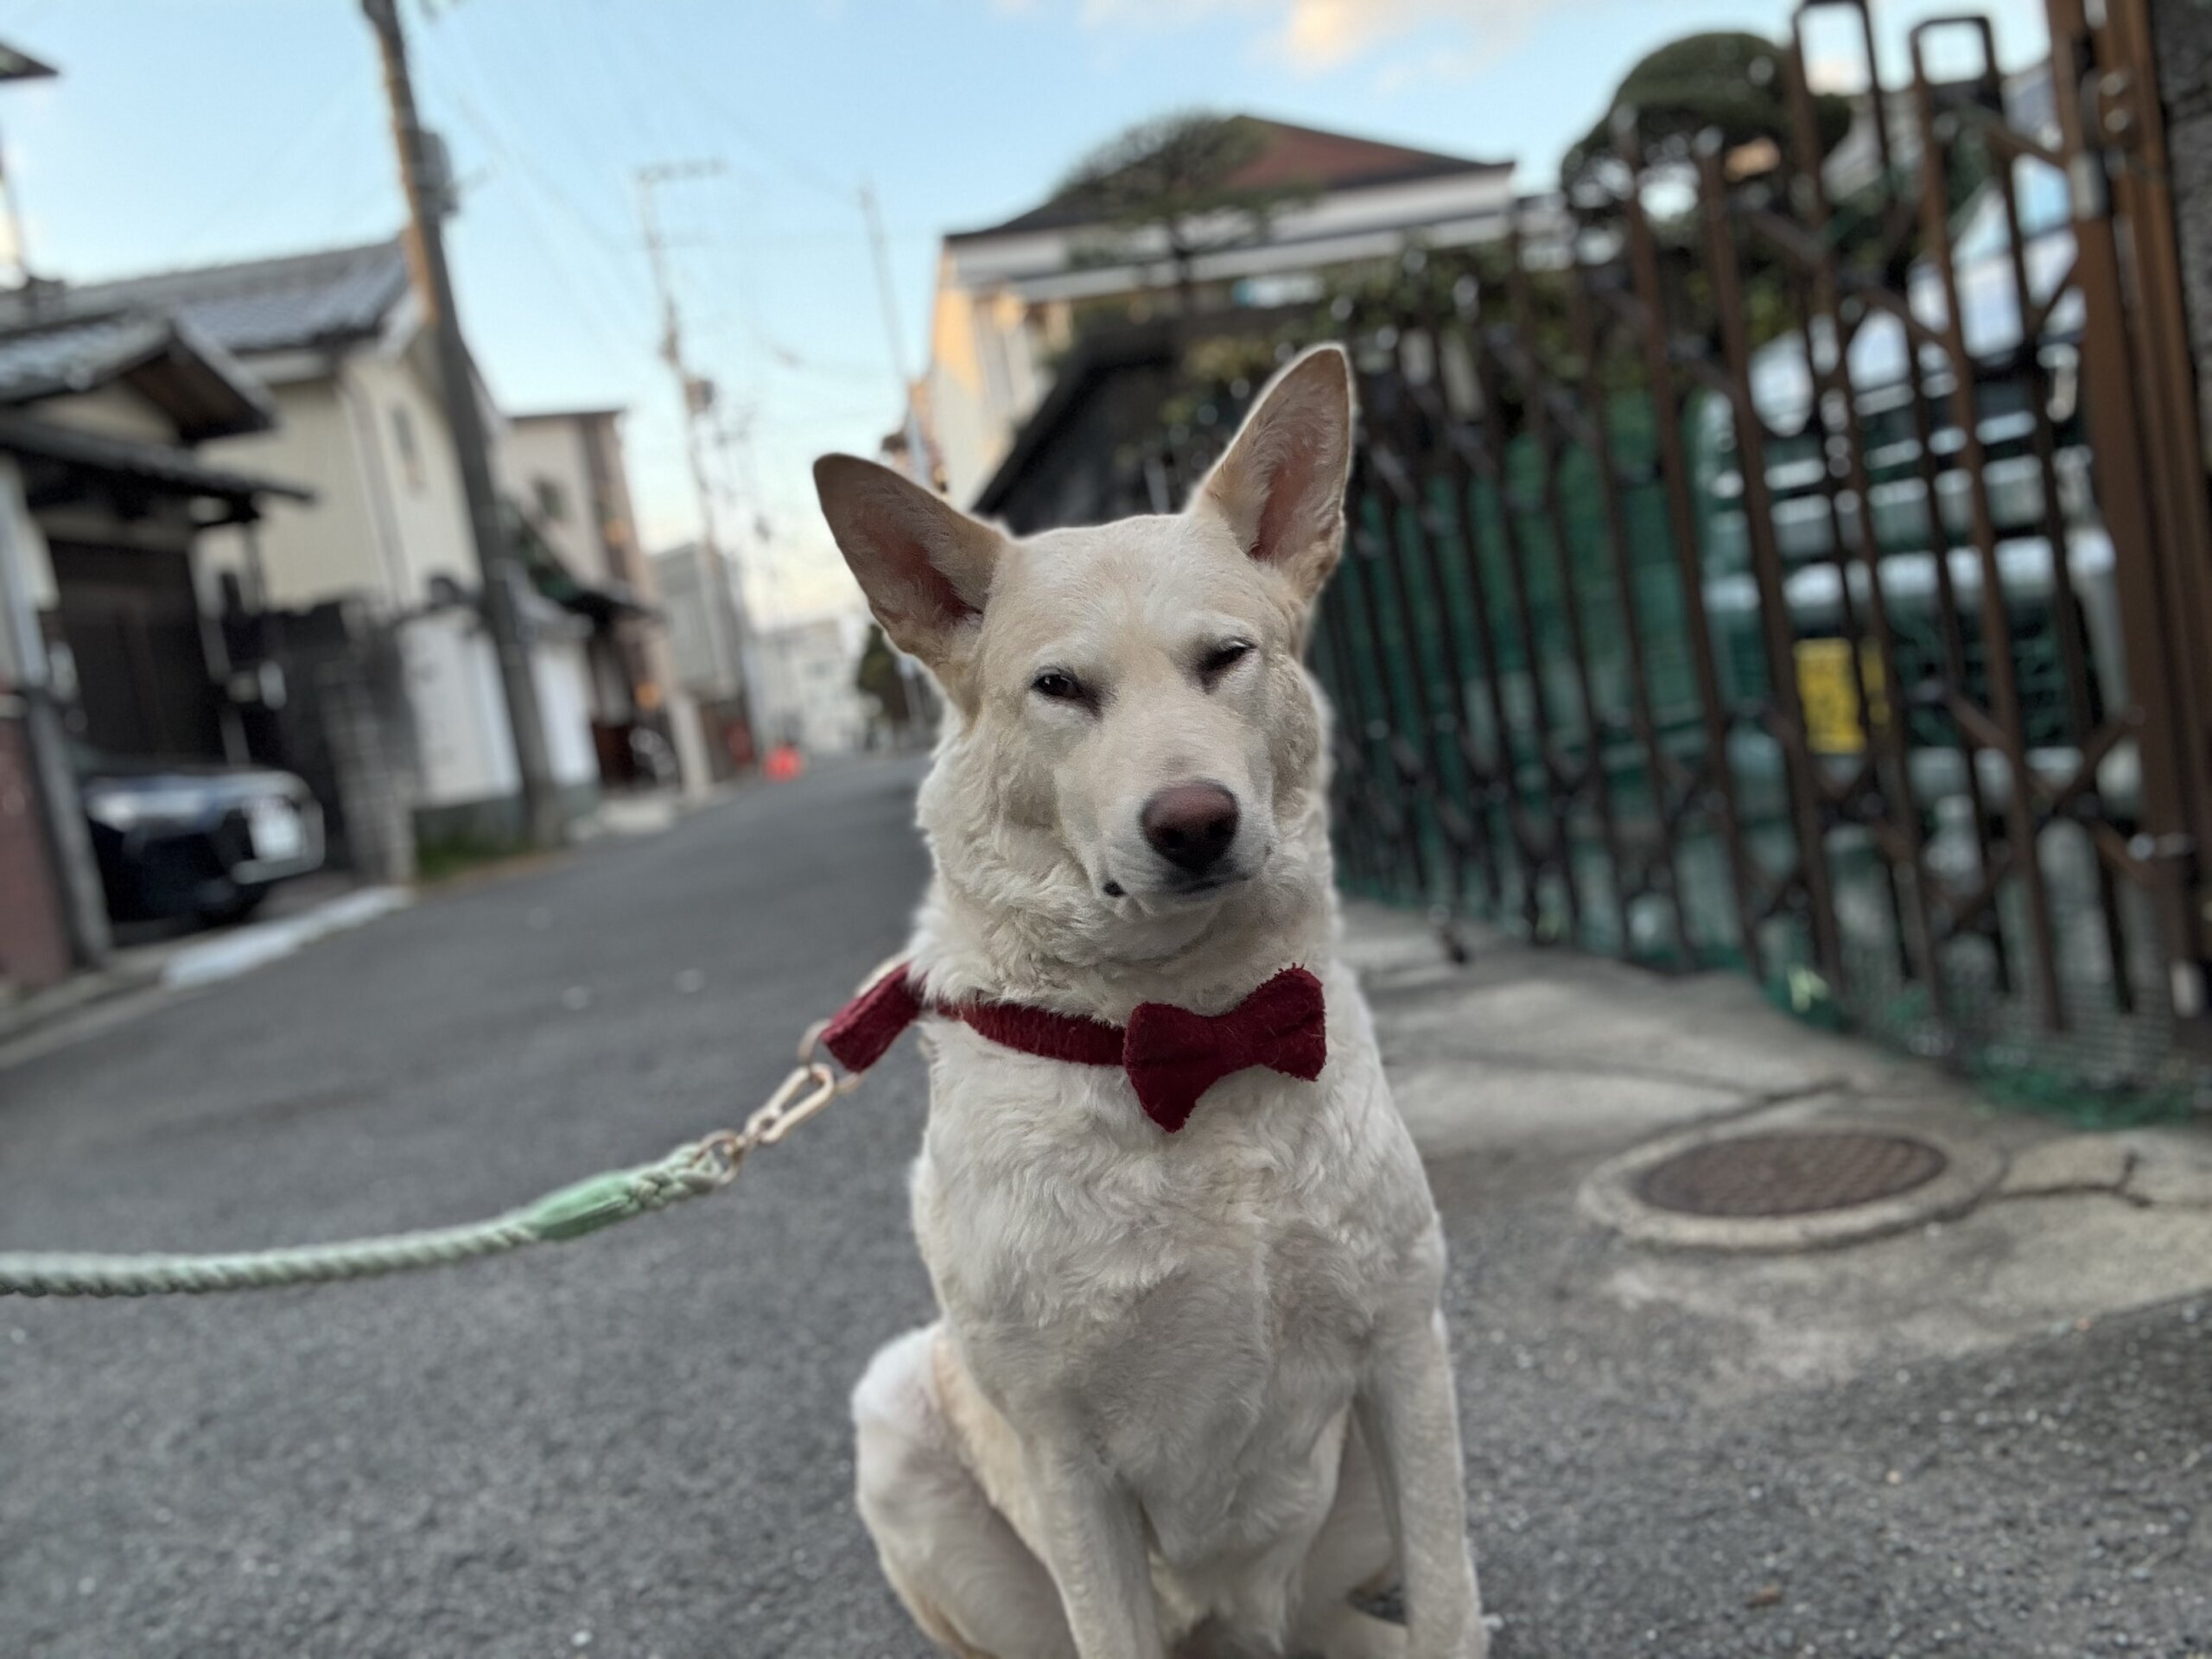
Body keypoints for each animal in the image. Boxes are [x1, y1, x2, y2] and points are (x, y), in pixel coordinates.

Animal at [811, 345, 1485, 1659]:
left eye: (1225, 658)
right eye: (1059, 688)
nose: (1193, 822)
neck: (1192, 1028)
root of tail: (1250, 1632)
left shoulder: (1404, 1349)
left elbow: (1450, 1608)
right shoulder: (1069, 1465)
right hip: (899, 1411)